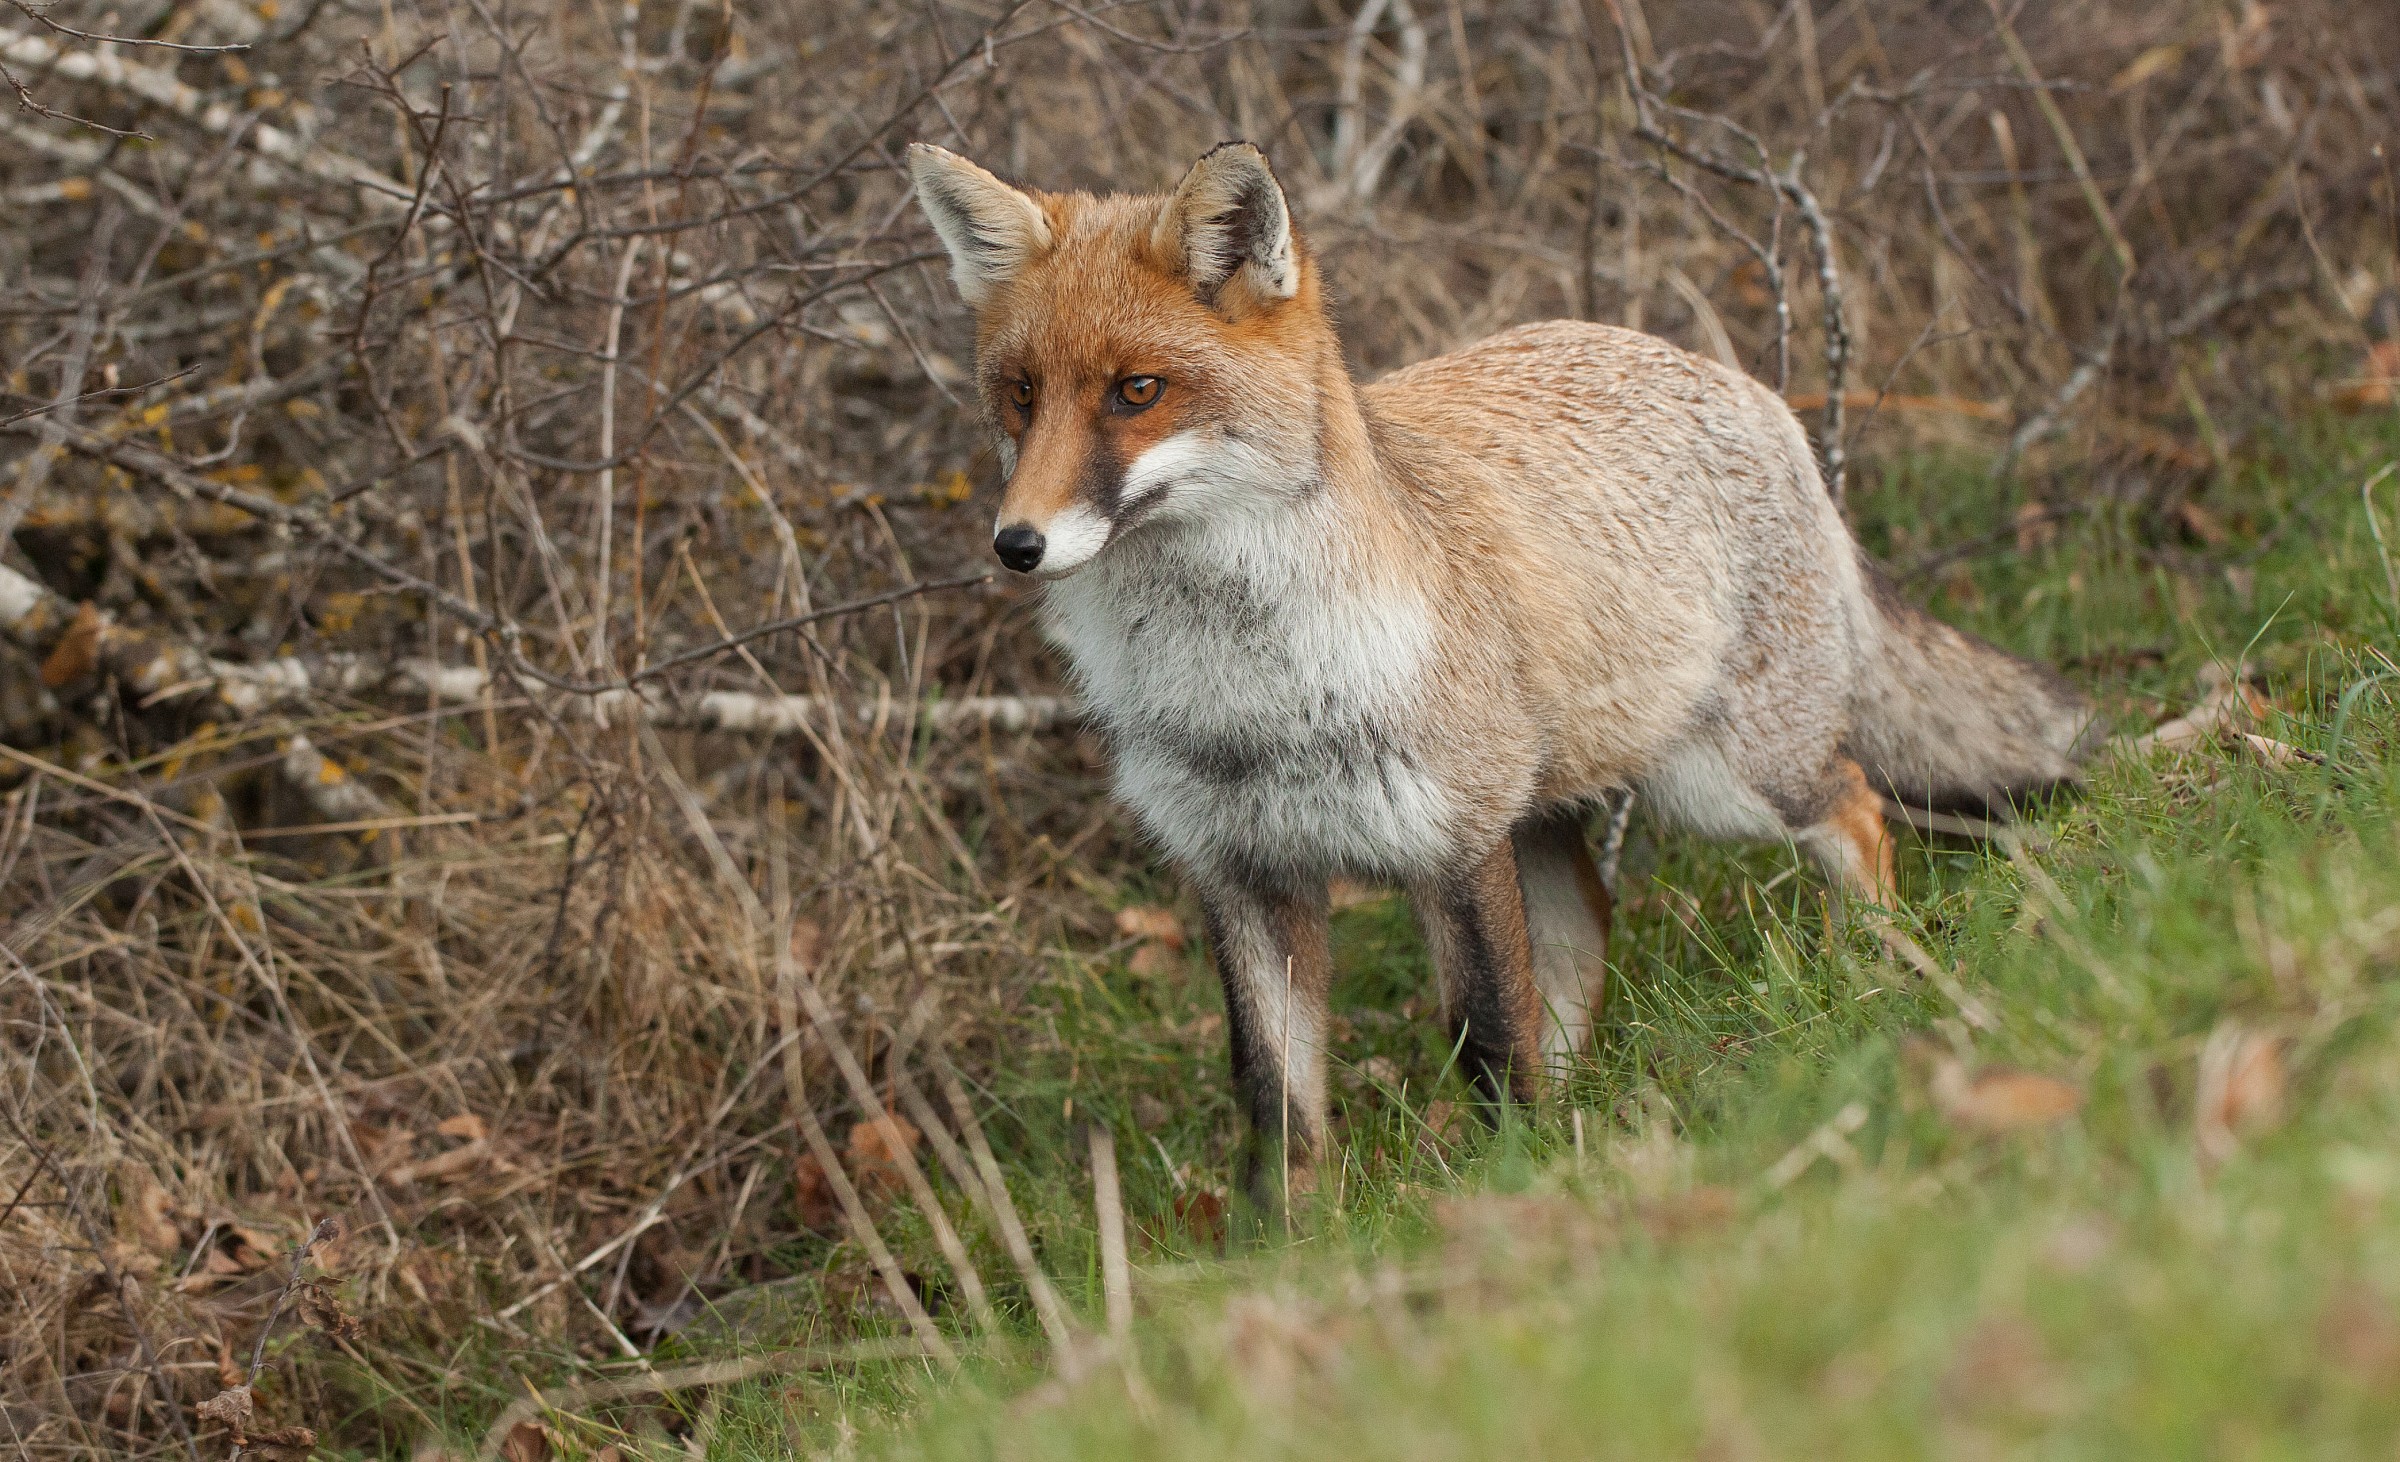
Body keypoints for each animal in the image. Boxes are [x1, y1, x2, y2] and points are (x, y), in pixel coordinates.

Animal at [908, 139, 2098, 1181]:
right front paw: (1298, 1250)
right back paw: (1595, 1101)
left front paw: (1514, 1183)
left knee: (1856, 807)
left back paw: (1876, 970)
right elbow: (1279, 1109)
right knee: (1592, 930)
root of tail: (1737, 381)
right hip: (1555, 812)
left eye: (1137, 391)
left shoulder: (1457, 838)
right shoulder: (1240, 871)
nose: (1016, 544)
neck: (1251, 693)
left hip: (1724, 782)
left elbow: (1486, 1038)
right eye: (1021, 394)